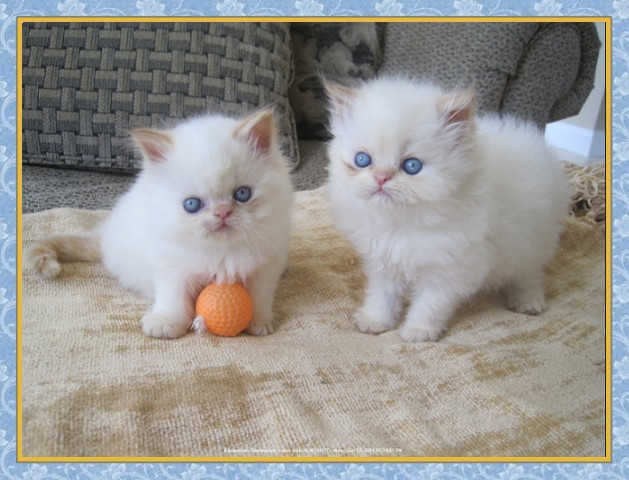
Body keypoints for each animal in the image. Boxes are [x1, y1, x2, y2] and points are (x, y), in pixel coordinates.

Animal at [27, 110, 294, 340]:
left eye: (242, 194)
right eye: (191, 204)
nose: (222, 213)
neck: (221, 252)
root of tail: (105, 233)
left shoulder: (265, 265)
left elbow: (259, 296)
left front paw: (259, 321)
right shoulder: (171, 265)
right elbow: (172, 297)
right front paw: (166, 323)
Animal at [322, 77, 572, 342]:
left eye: (412, 166)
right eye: (362, 160)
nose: (381, 178)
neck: (402, 224)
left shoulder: (451, 270)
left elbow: (430, 304)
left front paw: (418, 331)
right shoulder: (383, 263)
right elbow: (383, 296)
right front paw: (375, 321)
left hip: (531, 241)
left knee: (530, 274)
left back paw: (528, 301)